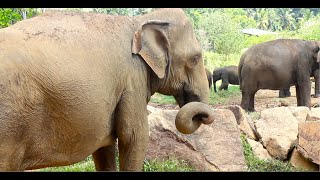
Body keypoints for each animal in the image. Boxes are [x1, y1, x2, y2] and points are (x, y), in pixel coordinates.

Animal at [0, 8, 215, 172]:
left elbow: (105, 145)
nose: (202, 115)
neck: (141, 21)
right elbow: (134, 137)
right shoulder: (132, 78)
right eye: (195, 58)